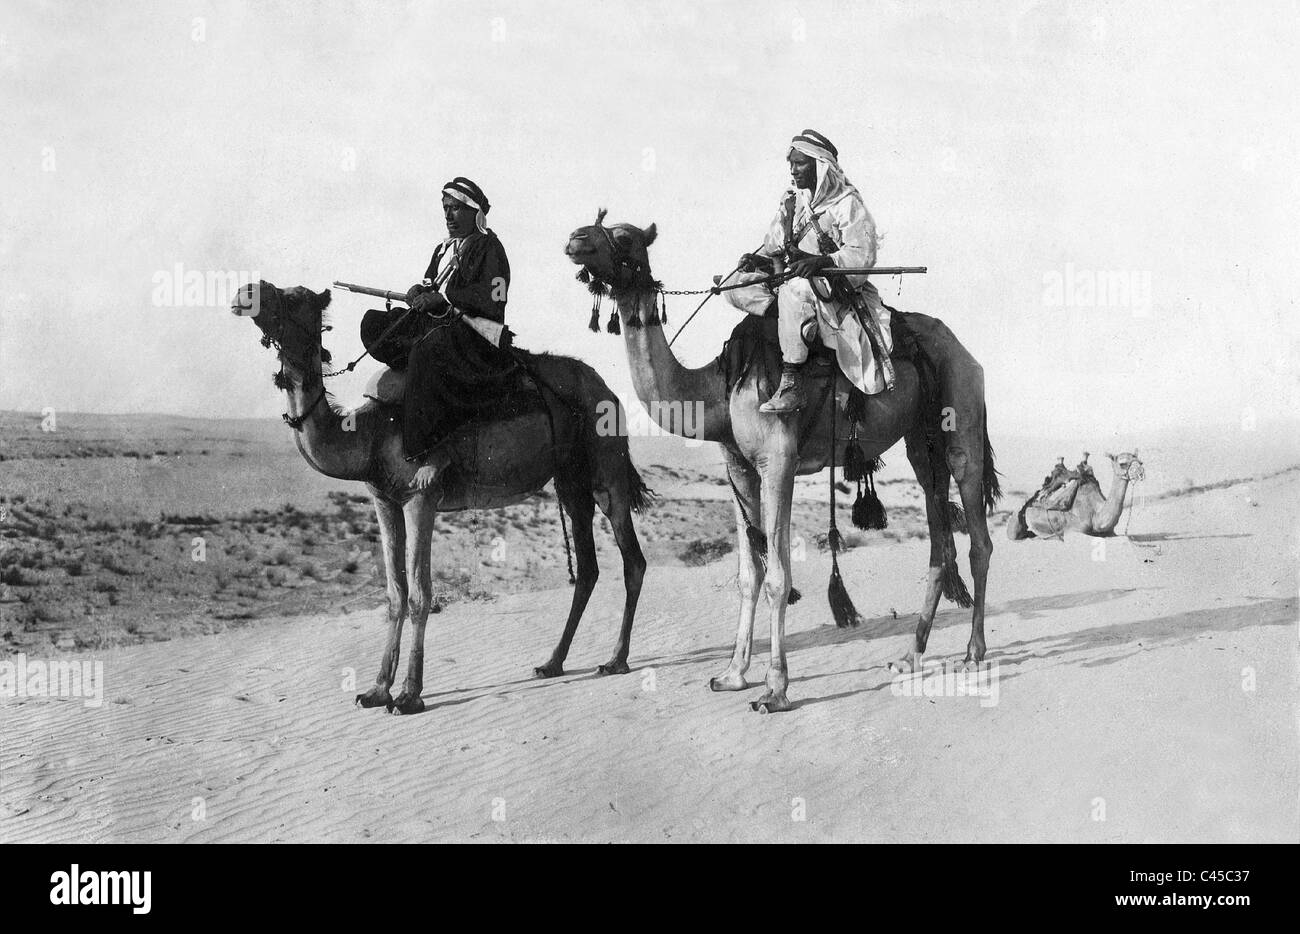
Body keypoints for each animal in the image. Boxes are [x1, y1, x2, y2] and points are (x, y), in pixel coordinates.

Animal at [231, 279, 650, 718]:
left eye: (294, 297)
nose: (246, 292)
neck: (370, 430)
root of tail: (608, 391)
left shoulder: (422, 495)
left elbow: (420, 593)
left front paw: (409, 696)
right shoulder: (384, 500)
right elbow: (395, 593)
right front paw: (376, 690)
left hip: (607, 466)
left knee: (632, 558)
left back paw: (615, 660)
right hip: (569, 479)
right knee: (587, 567)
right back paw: (552, 663)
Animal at [564, 215, 998, 712]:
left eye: (624, 236)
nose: (575, 239)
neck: (716, 390)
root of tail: (965, 352)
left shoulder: (779, 461)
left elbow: (777, 577)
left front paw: (774, 689)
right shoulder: (738, 467)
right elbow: (747, 575)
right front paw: (732, 674)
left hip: (961, 414)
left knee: (978, 537)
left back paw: (973, 652)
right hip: (920, 441)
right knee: (939, 541)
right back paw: (909, 657)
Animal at [1008, 452, 1144, 541]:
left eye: (1141, 462)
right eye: (1122, 463)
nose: (1141, 472)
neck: (1096, 515)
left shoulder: (1111, 532)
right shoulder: (1074, 530)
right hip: (1015, 523)